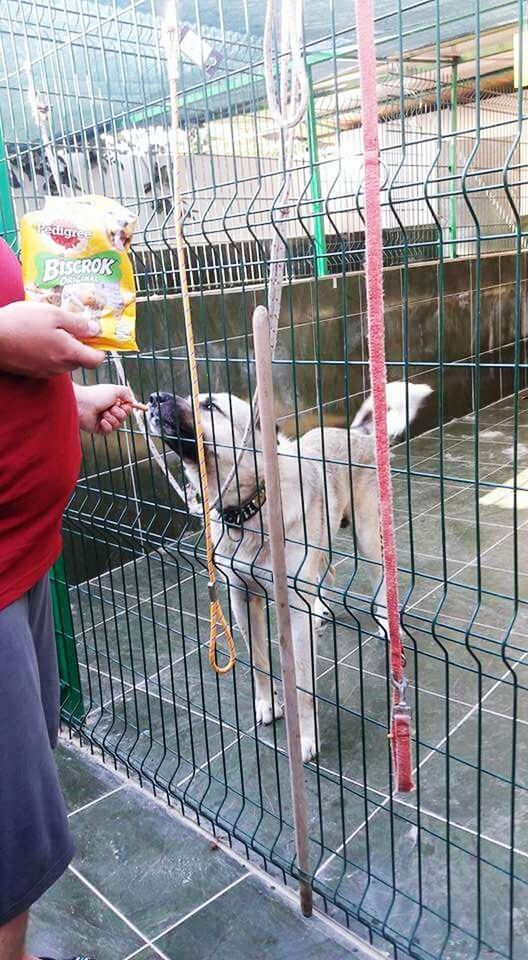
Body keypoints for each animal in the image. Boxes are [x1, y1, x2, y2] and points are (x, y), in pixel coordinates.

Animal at [146, 382, 432, 764]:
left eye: (209, 406)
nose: (152, 398)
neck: (251, 507)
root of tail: (354, 432)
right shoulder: (241, 598)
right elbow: (259, 662)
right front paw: (268, 705)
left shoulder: (293, 613)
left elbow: (302, 686)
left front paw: (304, 738)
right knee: (327, 574)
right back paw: (321, 609)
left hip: (370, 538)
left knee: (380, 581)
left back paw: (388, 625)